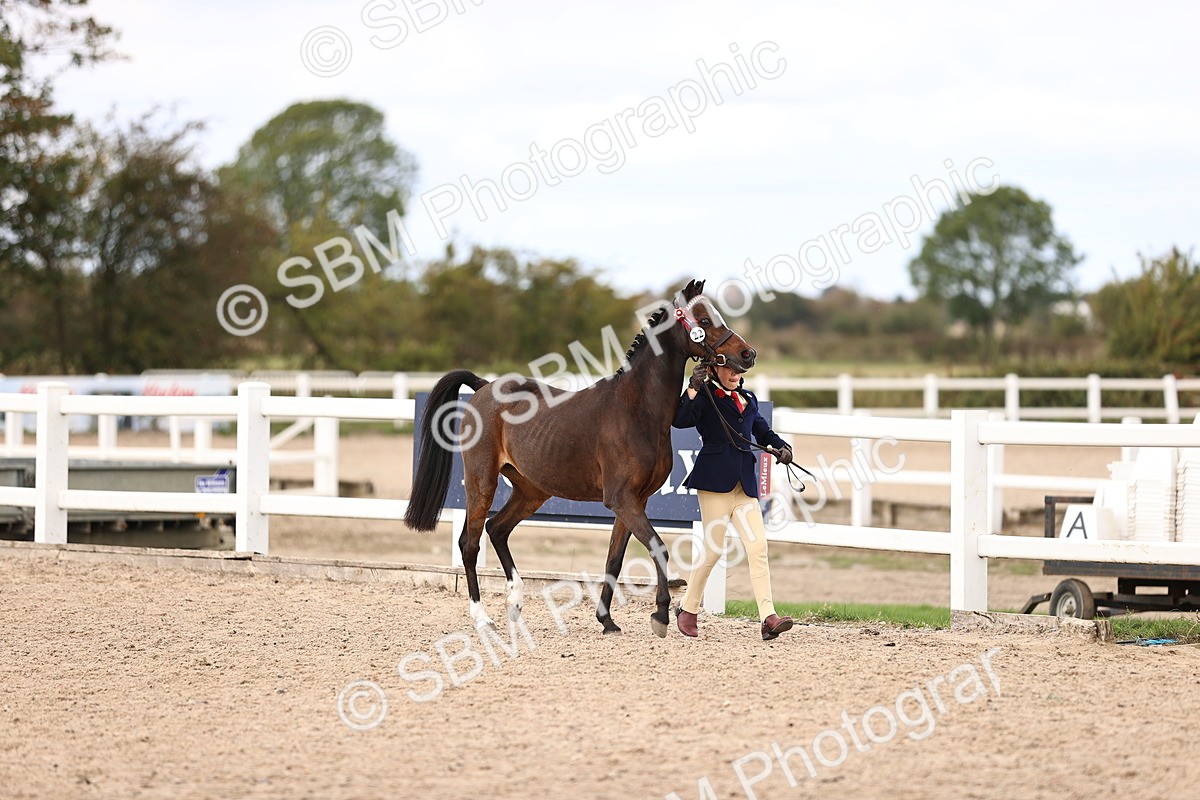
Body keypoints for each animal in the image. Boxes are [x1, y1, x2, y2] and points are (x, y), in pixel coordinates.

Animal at [403, 279, 757, 636]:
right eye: (705, 320)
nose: (747, 354)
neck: (636, 410)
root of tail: (484, 387)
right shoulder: (621, 499)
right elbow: (657, 547)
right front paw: (660, 615)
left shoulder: (634, 501)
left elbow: (614, 559)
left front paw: (607, 620)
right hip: (482, 481)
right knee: (470, 542)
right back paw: (482, 618)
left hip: (531, 490)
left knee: (497, 529)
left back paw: (515, 603)